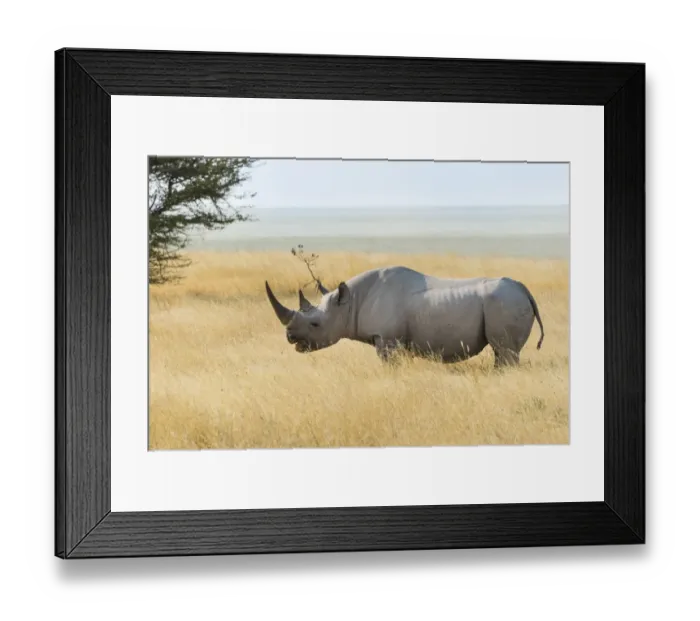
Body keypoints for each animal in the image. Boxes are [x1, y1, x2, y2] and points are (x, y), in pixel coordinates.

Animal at [264, 265, 544, 367]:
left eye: (315, 324)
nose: (290, 337)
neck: (349, 304)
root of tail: (524, 289)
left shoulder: (387, 339)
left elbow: (389, 365)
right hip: (508, 300)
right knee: (504, 352)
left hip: (504, 302)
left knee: (506, 351)